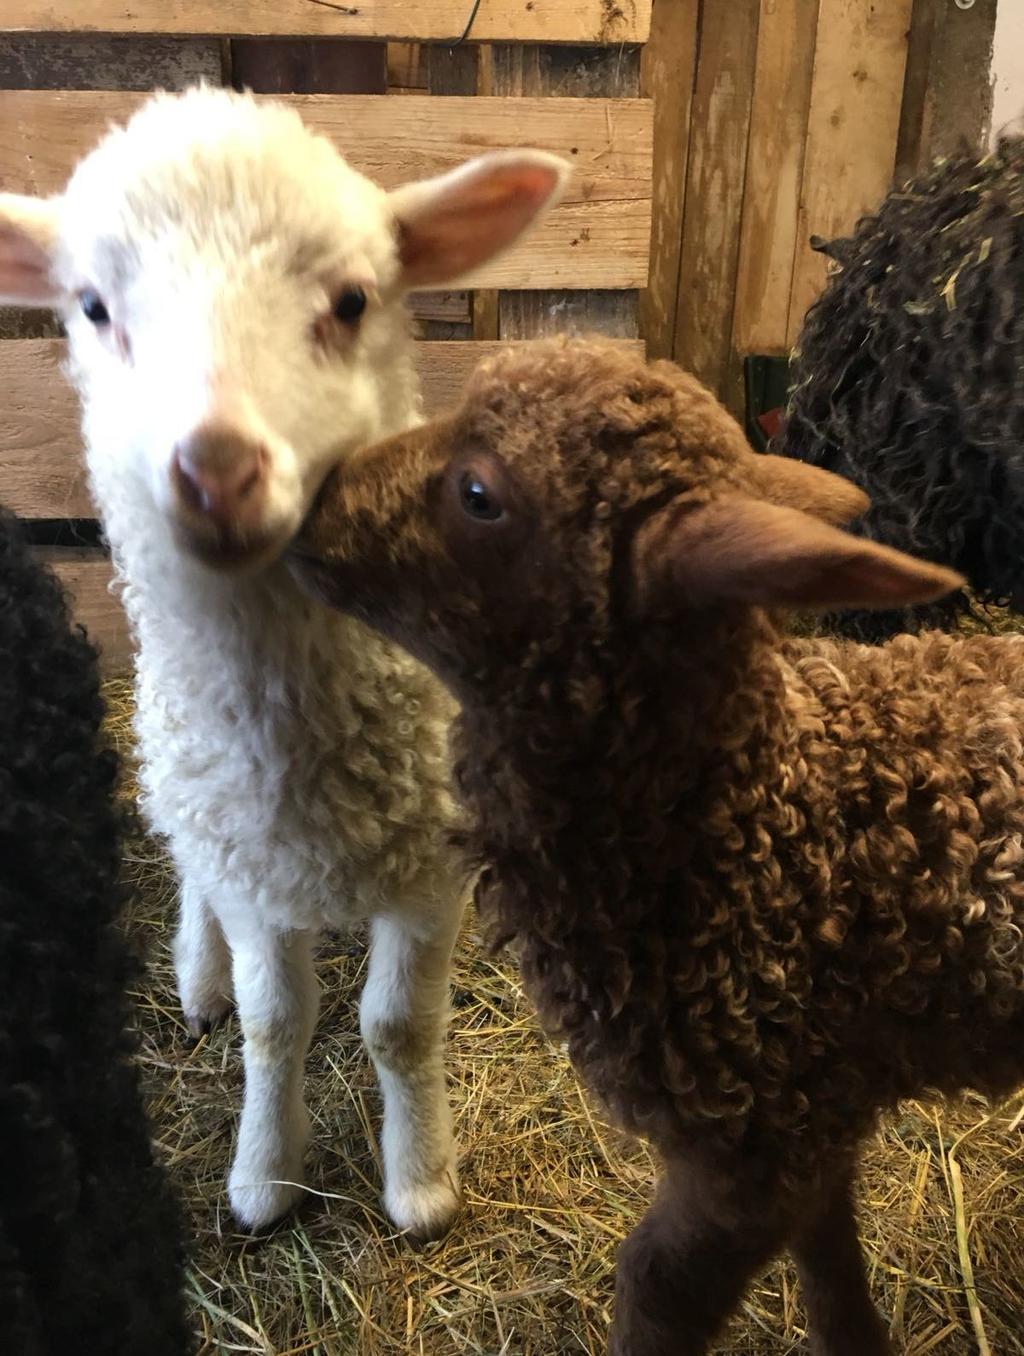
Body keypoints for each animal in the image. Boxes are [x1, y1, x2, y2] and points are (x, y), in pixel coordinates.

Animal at [0, 84, 569, 1242]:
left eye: (352, 301)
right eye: (93, 308)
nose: (216, 474)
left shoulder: (430, 864)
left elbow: (397, 1026)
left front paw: (418, 1184)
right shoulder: (256, 867)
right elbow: (275, 1021)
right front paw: (265, 1177)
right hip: (187, 779)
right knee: (192, 876)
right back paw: (197, 971)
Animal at [286, 339, 1024, 1356]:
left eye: (479, 494)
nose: (306, 498)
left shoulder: (749, 1147)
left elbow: (654, 1287)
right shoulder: (806, 1113)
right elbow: (830, 1266)